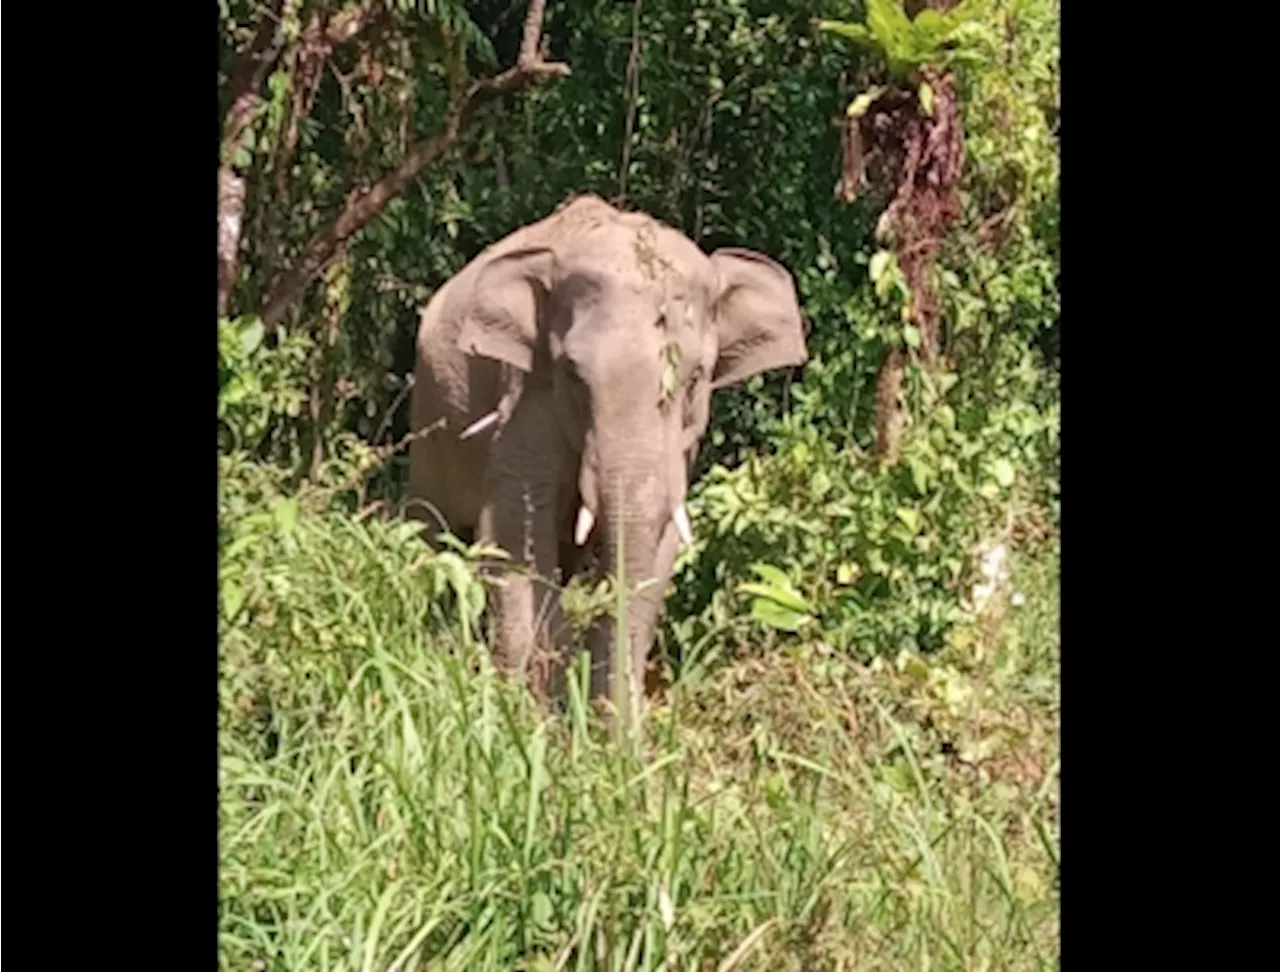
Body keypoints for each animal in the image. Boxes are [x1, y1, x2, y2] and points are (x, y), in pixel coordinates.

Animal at [409, 195, 803, 717]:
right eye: (573, 376)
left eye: (695, 379)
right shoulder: (528, 396)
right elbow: (514, 531)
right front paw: (532, 722)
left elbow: (657, 551)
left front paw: (615, 732)